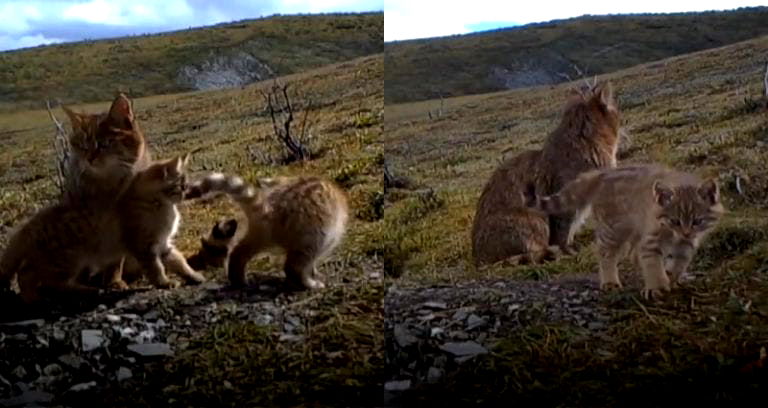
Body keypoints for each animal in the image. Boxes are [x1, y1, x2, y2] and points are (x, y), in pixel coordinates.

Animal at [184, 173, 346, 290]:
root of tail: (269, 208)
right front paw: (312, 272)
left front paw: (313, 271)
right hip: (313, 228)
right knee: (298, 261)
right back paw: (305, 282)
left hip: (262, 231)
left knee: (241, 251)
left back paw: (237, 277)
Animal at [524, 163, 724, 300]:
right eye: (674, 221)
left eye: (697, 221)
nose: (686, 233)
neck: (673, 236)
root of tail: (602, 173)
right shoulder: (650, 241)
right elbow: (653, 264)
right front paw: (657, 286)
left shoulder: (685, 247)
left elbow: (678, 264)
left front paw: (671, 277)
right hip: (613, 230)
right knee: (606, 254)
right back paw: (610, 281)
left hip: (632, 230)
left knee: (632, 253)